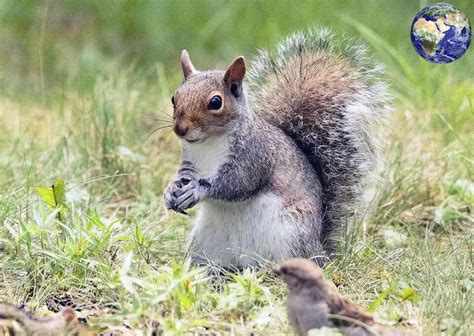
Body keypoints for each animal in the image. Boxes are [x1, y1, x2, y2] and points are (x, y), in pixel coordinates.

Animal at [163, 29, 388, 270]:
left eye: (216, 102)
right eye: (174, 97)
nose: (180, 129)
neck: (208, 144)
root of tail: (320, 252)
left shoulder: (253, 157)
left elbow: (236, 184)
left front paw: (197, 190)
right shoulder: (191, 162)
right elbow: (184, 176)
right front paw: (170, 191)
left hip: (288, 236)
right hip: (206, 243)